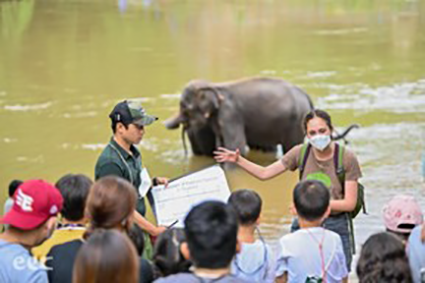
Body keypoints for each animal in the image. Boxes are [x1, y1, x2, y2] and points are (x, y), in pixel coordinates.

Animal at [164, 77, 314, 158]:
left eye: (184, 107)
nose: (164, 123)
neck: (214, 86)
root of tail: (306, 95)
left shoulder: (230, 115)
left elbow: (235, 147)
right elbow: (220, 147)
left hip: (296, 122)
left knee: (292, 147)